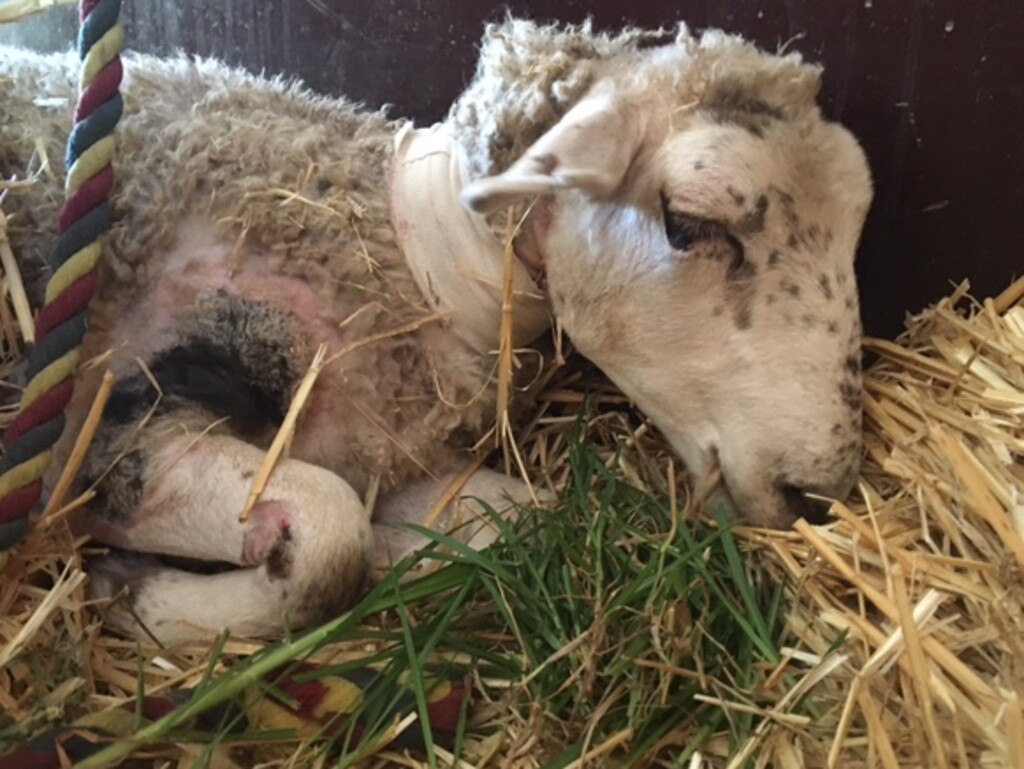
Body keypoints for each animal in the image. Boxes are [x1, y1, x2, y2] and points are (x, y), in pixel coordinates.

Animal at [0, 18, 872, 643]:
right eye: (689, 223)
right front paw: (143, 596)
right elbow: (333, 534)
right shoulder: (116, 422)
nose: (818, 493)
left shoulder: (394, 454)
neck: (409, 253)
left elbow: (533, 516)